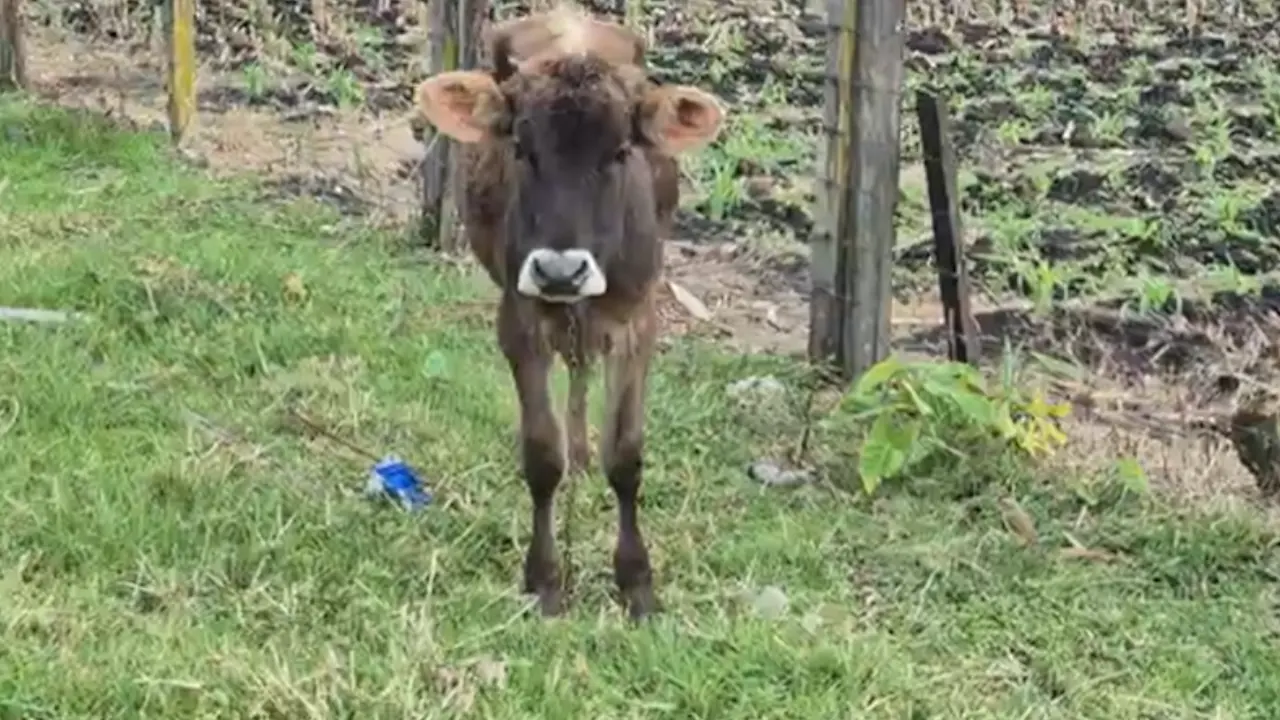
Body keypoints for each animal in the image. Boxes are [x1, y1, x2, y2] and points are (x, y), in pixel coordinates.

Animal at [413, 4, 726, 620]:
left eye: (621, 152)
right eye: (520, 149)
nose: (561, 272)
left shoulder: (638, 323)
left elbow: (625, 456)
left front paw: (636, 581)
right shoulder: (519, 322)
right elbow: (541, 454)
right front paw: (545, 579)